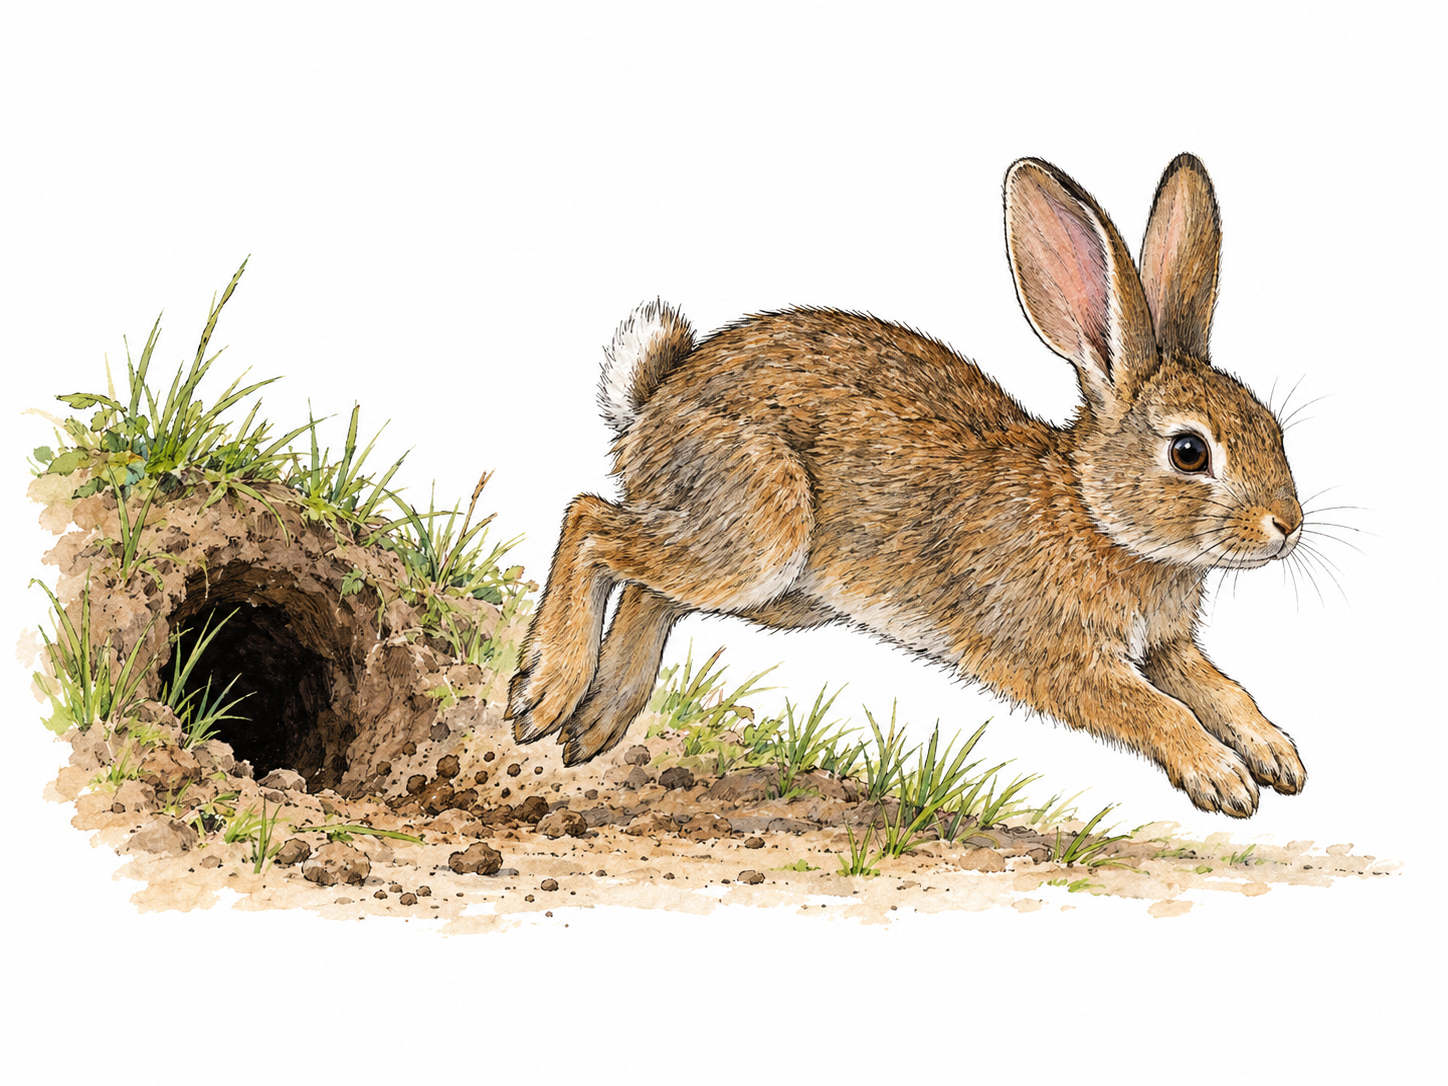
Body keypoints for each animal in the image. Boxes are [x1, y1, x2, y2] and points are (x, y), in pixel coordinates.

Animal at [506, 153, 1306, 818]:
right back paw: (544, 694)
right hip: (761, 524)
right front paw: (1222, 778)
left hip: (779, 588)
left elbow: (1219, 688)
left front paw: (1277, 755)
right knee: (590, 521)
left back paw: (599, 719)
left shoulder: (1165, 647)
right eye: (1189, 452)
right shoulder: (1057, 655)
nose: (1288, 525)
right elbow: (1155, 710)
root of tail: (654, 403)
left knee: (650, 585)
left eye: (1274, 429)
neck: (1092, 509)